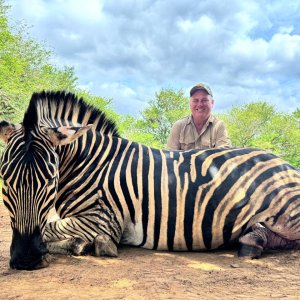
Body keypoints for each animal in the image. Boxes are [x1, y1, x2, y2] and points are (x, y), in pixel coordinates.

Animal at [0, 91, 298, 270]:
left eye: (50, 180)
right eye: (6, 179)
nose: (25, 259)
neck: (91, 164)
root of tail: (285, 164)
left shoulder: (103, 219)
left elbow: (50, 227)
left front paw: (91, 244)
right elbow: (52, 227)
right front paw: (78, 244)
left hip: (287, 212)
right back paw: (251, 241)